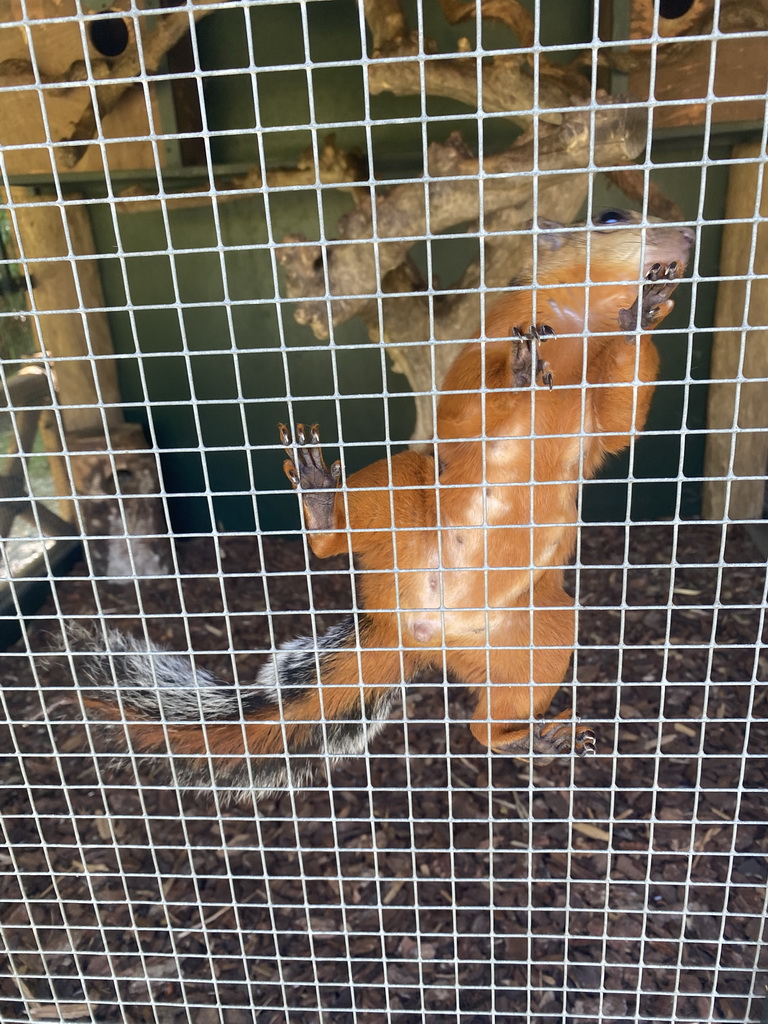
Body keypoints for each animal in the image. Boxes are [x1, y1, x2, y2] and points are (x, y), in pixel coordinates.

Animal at [63, 211, 696, 794]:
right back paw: (322, 506)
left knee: (486, 724)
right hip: (401, 492)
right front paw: (519, 370)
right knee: (337, 542)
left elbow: (619, 417)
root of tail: (409, 626)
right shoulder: (486, 342)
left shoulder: (599, 414)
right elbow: (465, 406)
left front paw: (642, 316)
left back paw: (534, 738)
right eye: (610, 218)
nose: (688, 233)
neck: (581, 327)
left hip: (540, 633)